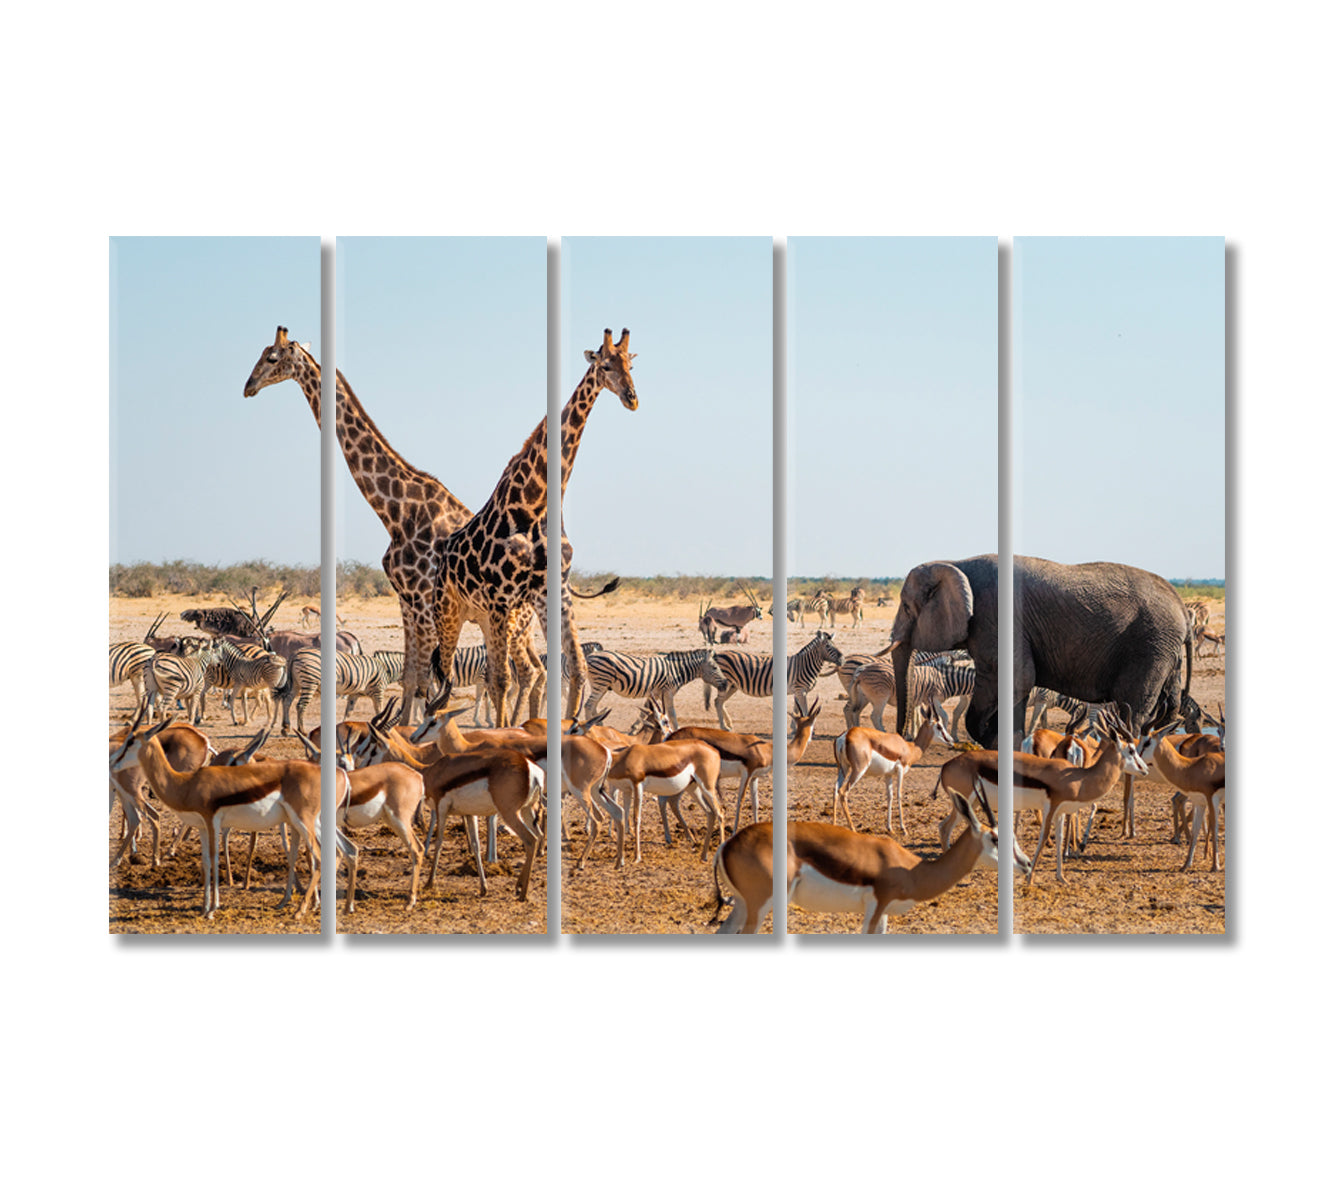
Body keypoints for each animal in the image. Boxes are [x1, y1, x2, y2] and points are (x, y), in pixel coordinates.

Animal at [241, 324, 546, 720]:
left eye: (272, 357)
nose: (248, 386)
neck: (396, 512)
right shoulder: (406, 601)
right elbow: (411, 678)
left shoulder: (423, 602)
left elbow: (423, 682)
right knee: (529, 672)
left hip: (510, 621)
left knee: (524, 672)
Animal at [434, 328, 637, 720]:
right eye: (605, 365)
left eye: (630, 364)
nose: (632, 398)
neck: (535, 505)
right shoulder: (499, 597)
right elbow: (500, 681)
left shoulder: (549, 592)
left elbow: (576, 668)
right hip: (449, 611)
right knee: (440, 678)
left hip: (487, 617)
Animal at [584, 648, 731, 720]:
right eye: (714, 667)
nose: (726, 684)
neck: (676, 670)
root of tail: (589, 656)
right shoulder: (668, 691)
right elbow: (672, 714)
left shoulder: (653, 693)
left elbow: (645, 713)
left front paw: (635, 731)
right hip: (600, 683)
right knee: (588, 705)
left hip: (601, 686)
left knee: (593, 706)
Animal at [709, 629, 843, 730]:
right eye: (828, 646)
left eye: (836, 645)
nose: (842, 659)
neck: (804, 664)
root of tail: (717, 654)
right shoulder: (801, 690)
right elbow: (804, 710)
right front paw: (805, 728)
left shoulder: (797, 691)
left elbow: (796, 709)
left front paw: (794, 728)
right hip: (725, 683)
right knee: (717, 702)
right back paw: (724, 727)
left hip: (733, 686)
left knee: (721, 702)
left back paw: (728, 724)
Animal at [891, 554, 1195, 752]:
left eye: (905, 606)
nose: (901, 738)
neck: (956, 563)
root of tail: (1182, 606)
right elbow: (1018, 685)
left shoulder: (998, 618)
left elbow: (1016, 681)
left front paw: (997, 745)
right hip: (1163, 650)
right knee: (1169, 706)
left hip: (1151, 646)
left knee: (1134, 705)